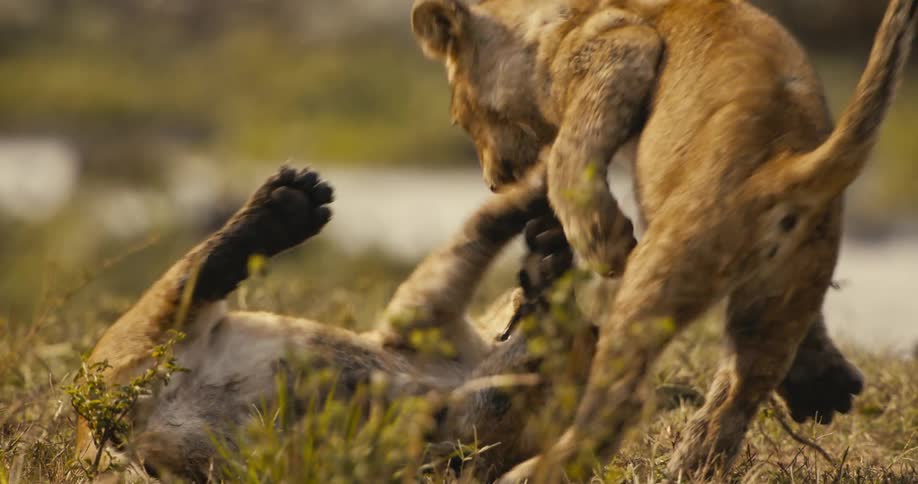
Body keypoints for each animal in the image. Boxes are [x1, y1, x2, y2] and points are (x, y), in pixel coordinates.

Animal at [75, 165, 600, 481]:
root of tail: (125, 443)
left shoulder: (471, 421)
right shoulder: (419, 316)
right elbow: (482, 229)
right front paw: (546, 228)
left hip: (140, 353)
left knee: (194, 275)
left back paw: (288, 205)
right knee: (195, 275)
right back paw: (289, 204)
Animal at [410, 0, 914, 479]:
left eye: (460, 117)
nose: (495, 181)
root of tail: (780, 168)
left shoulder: (621, 49)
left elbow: (573, 149)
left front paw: (604, 239)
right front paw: (824, 383)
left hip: (657, 276)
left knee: (618, 401)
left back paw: (535, 472)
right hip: (782, 288)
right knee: (738, 392)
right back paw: (692, 467)